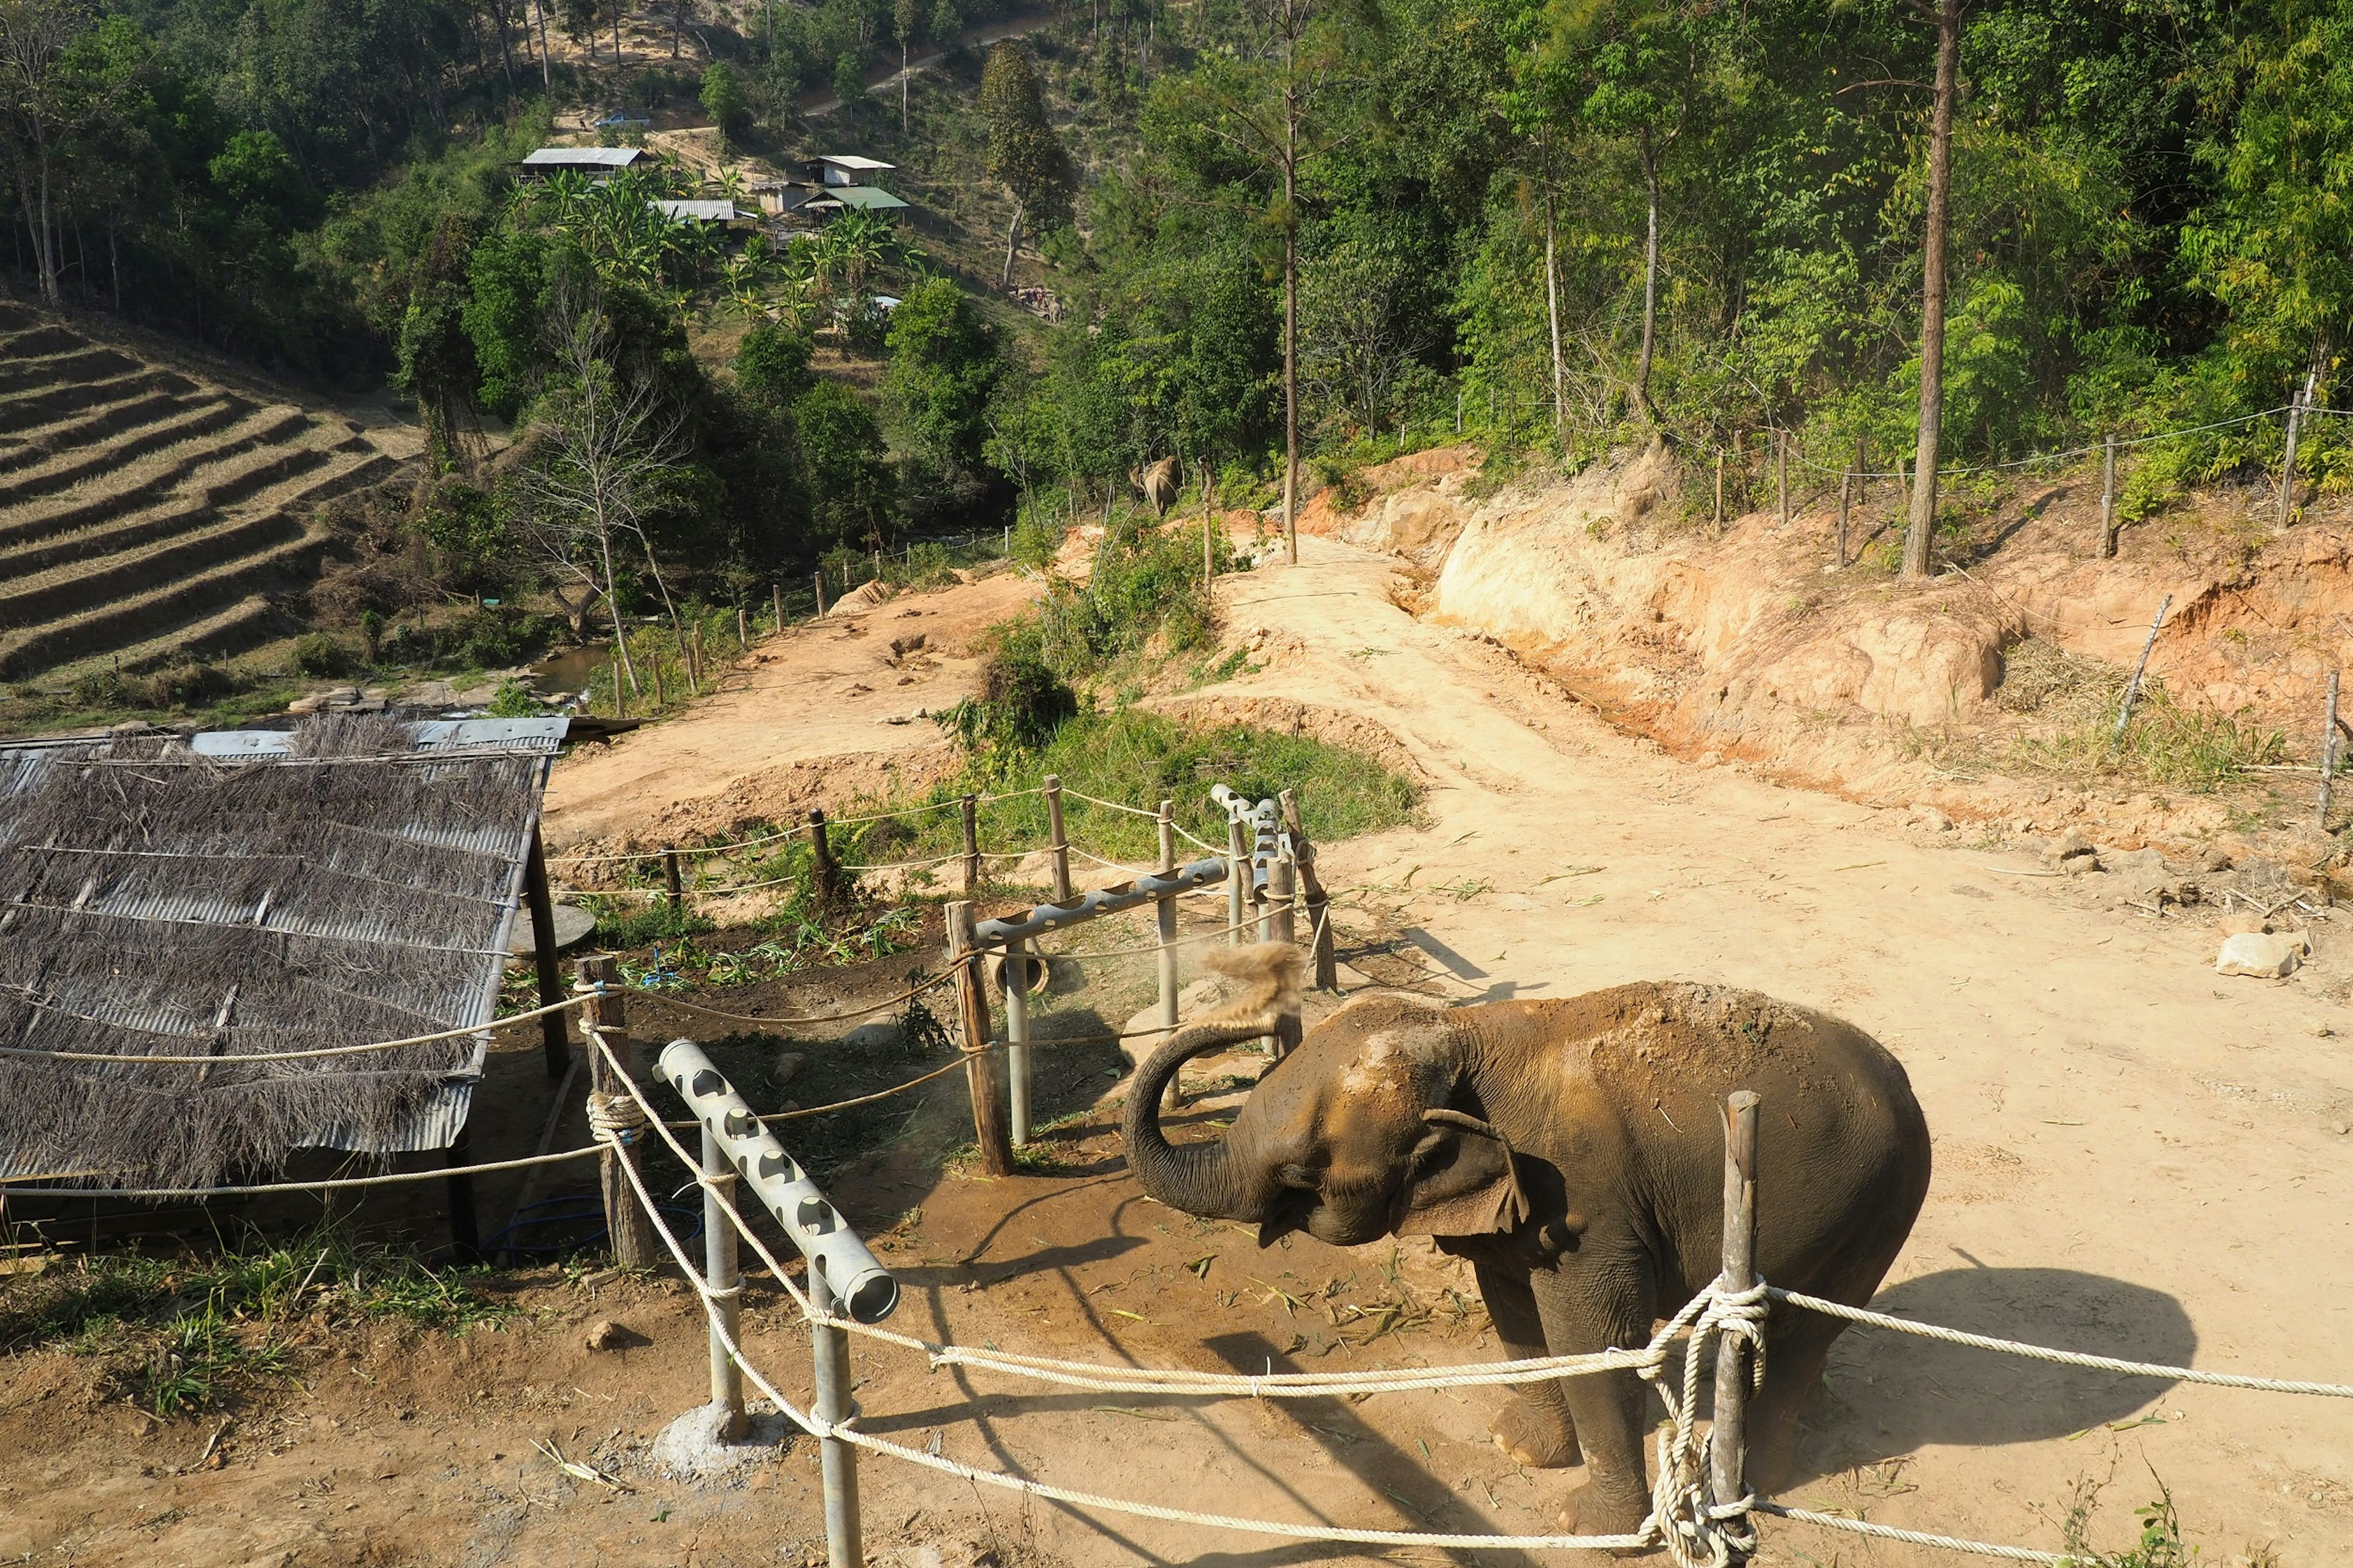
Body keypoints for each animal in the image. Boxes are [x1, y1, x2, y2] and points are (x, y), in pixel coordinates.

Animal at [1120, 946, 1929, 1535]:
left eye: (1302, 1174)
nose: (1246, 1011)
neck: (1468, 1038)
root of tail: (1902, 1078)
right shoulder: (1525, 1212)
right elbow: (1513, 1312)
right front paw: (1518, 1448)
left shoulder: (1589, 1212)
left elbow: (1593, 1343)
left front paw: (1586, 1528)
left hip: (1882, 1204)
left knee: (1806, 1332)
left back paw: (1764, 1473)